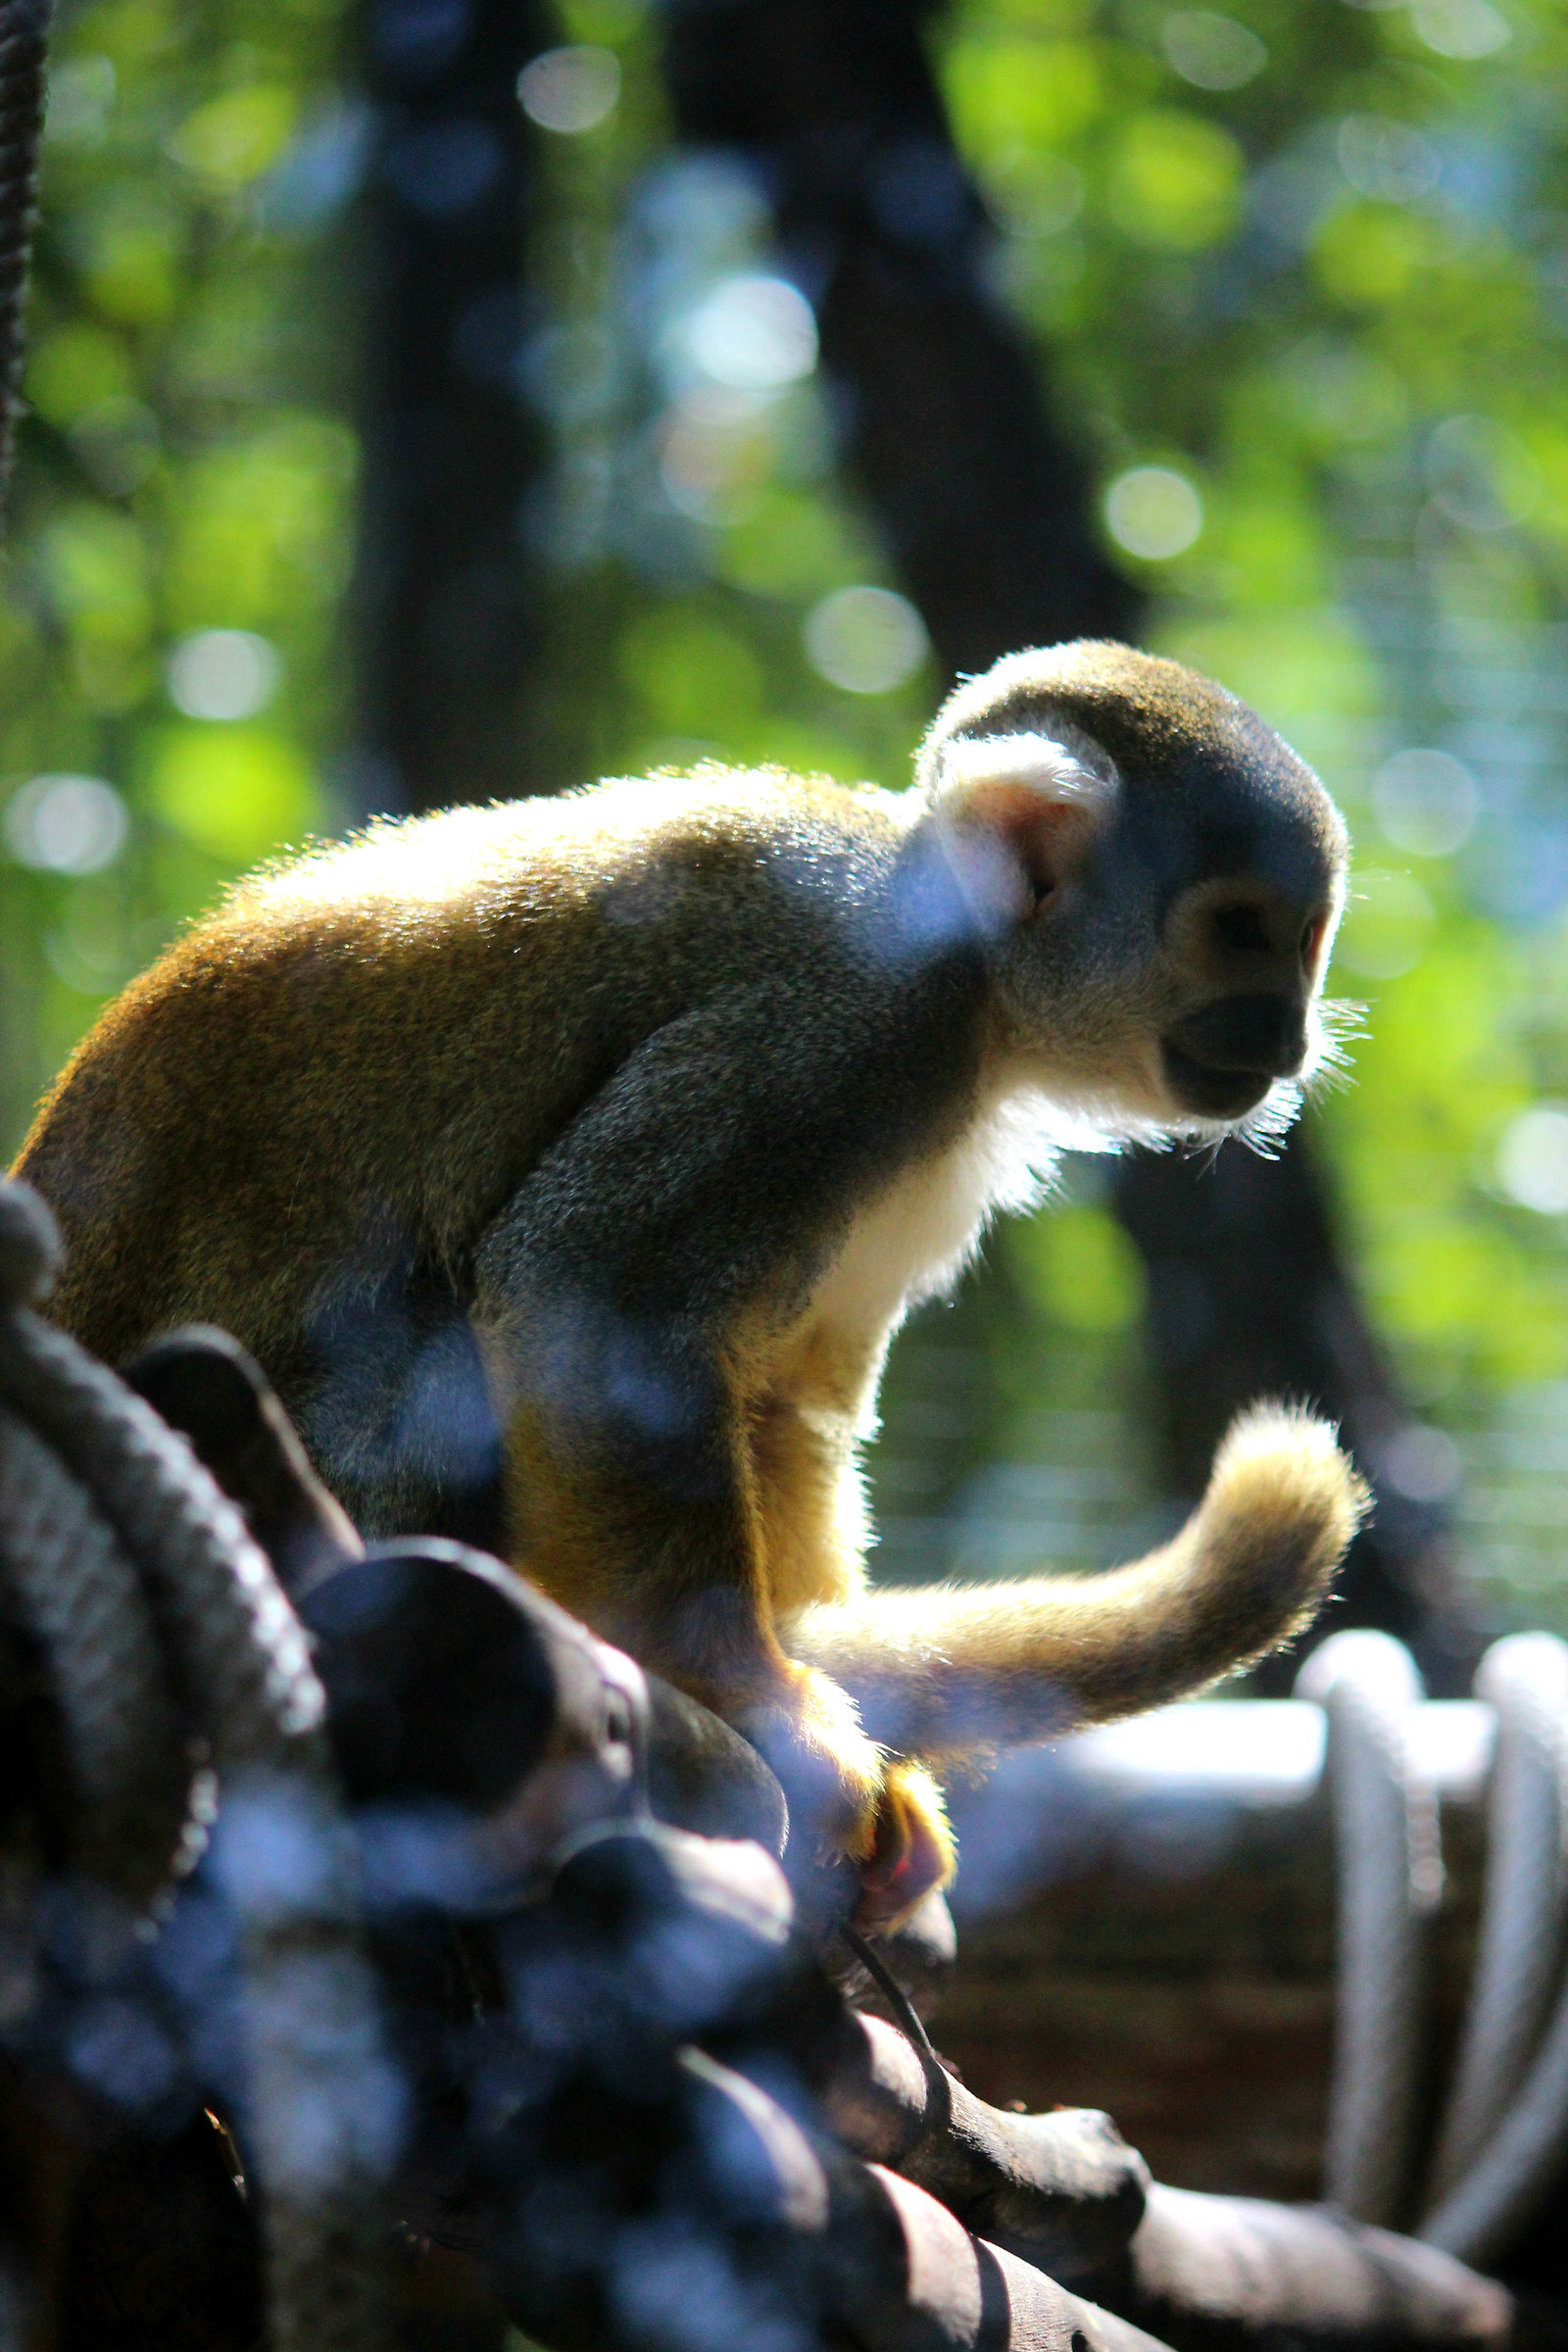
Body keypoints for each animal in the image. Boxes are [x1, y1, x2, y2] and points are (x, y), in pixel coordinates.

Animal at [14, 640, 1367, 1928]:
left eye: (1303, 942)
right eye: (1239, 929)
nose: (1288, 1035)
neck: (973, 979)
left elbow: (782, 1399)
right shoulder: (843, 1028)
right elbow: (595, 1297)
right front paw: (769, 1710)